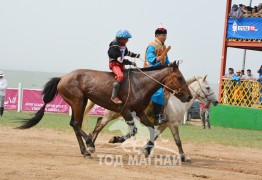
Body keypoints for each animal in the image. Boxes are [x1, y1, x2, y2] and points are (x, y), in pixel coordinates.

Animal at [17, 62, 190, 158]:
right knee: (76, 124)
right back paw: (90, 144)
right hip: (78, 102)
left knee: (75, 124)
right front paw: (115, 139)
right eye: (180, 77)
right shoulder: (125, 111)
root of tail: (62, 78)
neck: (140, 84)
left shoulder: (140, 113)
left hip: (79, 103)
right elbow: (133, 130)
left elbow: (152, 129)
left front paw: (146, 150)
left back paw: (85, 150)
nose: (188, 96)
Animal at [84, 74, 219, 162]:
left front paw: (145, 150)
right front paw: (183, 157)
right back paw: (93, 144)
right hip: (112, 113)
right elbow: (178, 141)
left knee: (99, 121)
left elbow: (154, 136)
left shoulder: (164, 125)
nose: (216, 101)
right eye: (207, 87)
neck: (177, 102)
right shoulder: (173, 124)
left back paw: (92, 141)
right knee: (100, 125)